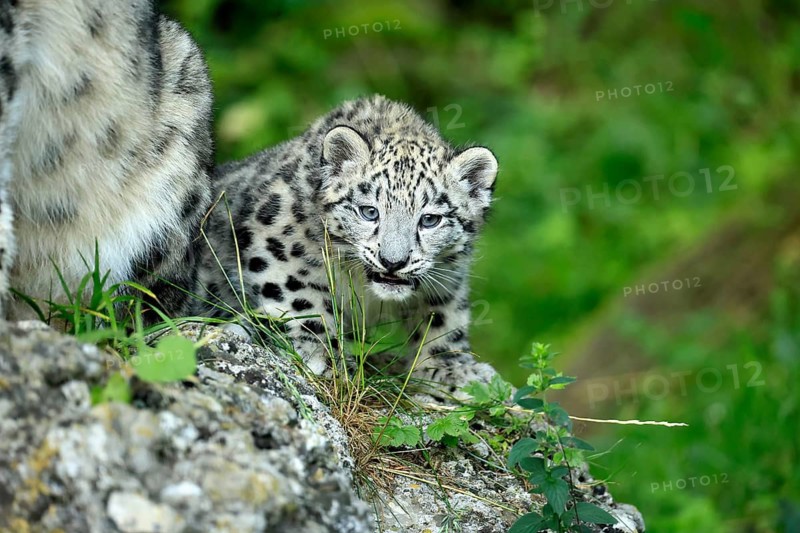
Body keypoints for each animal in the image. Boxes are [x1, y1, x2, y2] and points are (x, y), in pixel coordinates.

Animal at [196, 95, 499, 389]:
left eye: (429, 220)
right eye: (369, 212)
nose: (393, 262)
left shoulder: (447, 276)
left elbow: (443, 316)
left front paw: (453, 370)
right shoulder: (276, 244)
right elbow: (303, 300)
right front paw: (327, 356)